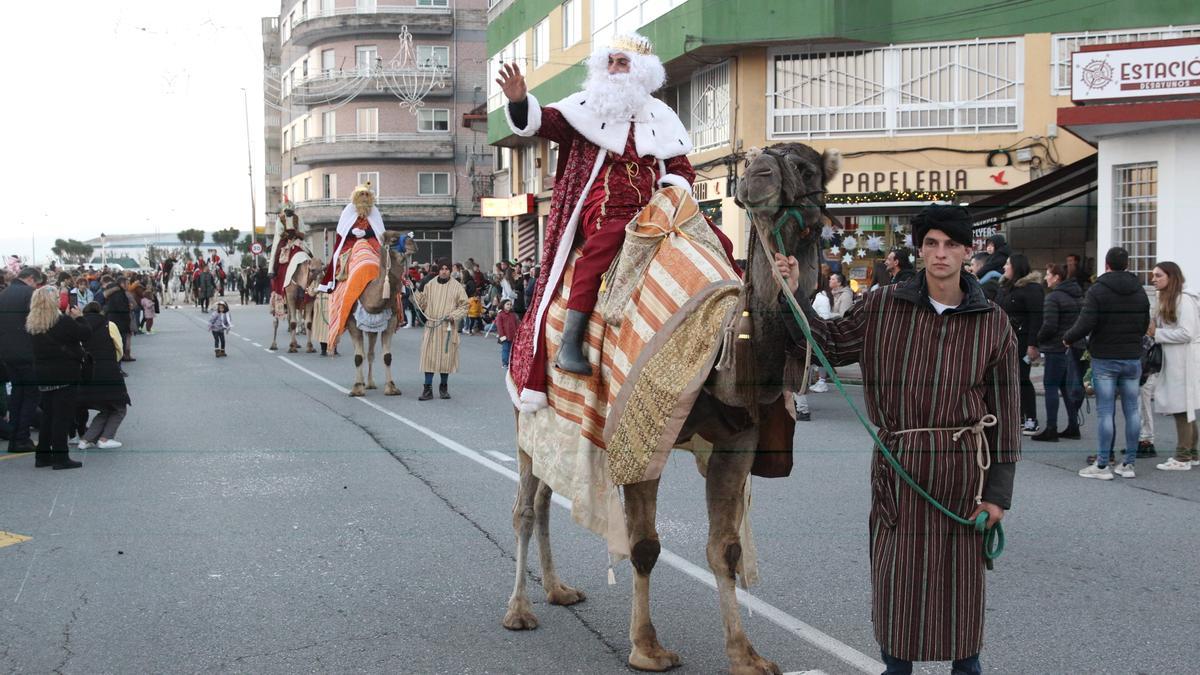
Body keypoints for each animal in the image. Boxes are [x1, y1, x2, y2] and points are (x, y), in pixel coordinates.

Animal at [345, 233, 420, 393]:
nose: (413, 243)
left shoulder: (390, 321)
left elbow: (387, 356)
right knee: (360, 354)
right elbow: (357, 357)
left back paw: (370, 383)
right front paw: (357, 388)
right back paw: (361, 383)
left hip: (372, 328)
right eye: (393, 239)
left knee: (370, 353)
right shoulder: (352, 323)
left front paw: (391, 387)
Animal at [504, 139, 835, 667]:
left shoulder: (738, 441)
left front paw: (746, 655)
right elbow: (644, 546)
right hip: (526, 412)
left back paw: (558, 590)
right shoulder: (642, 441)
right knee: (525, 508)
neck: (722, 349)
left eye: (805, 169)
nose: (758, 172)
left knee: (544, 496)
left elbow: (725, 549)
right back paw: (519, 611)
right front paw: (647, 647)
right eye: (763, 160)